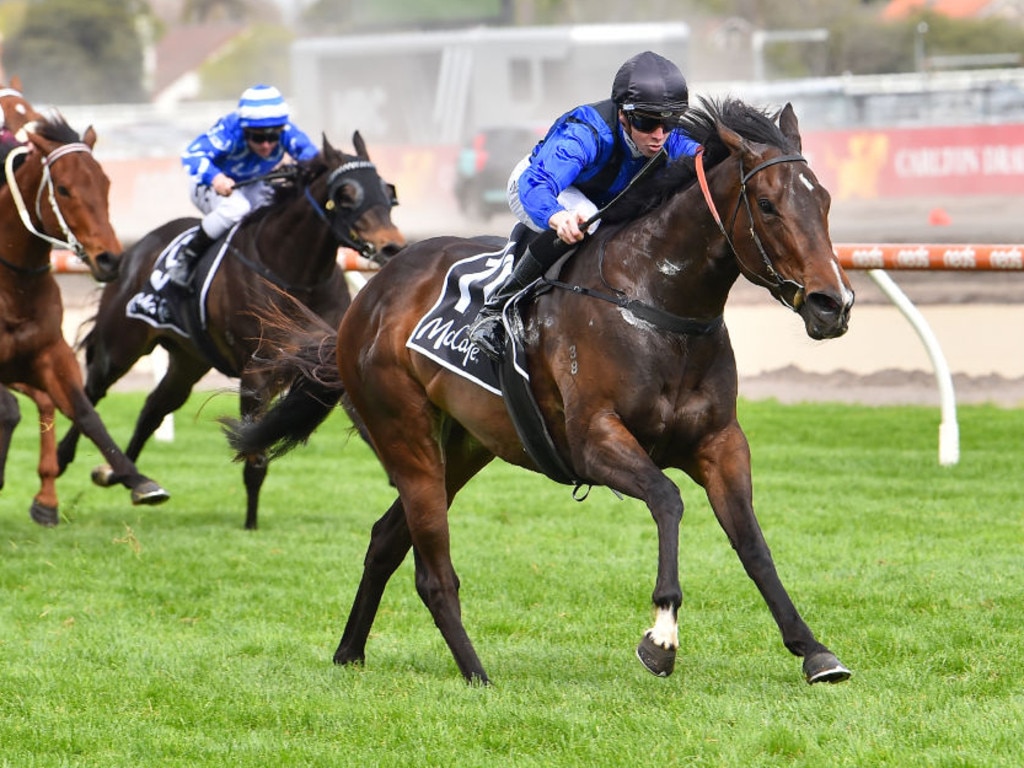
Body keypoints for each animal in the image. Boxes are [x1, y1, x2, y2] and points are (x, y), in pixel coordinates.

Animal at [0, 109, 167, 528]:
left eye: (106, 184)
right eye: (63, 189)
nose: (110, 259)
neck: (13, 285)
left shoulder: (49, 353)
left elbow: (85, 412)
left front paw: (137, 479)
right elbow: (9, 409)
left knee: (44, 404)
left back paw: (47, 498)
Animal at [54, 132, 401, 528]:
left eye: (386, 190)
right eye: (345, 194)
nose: (391, 245)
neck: (294, 274)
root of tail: (134, 250)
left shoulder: (331, 362)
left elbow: (367, 424)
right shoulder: (257, 372)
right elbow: (255, 455)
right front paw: (250, 525)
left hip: (187, 361)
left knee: (154, 407)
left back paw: (129, 479)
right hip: (121, 345)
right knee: (93, 391)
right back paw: (66, 458)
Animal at [224, 97, 856, 684]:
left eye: (824, 201)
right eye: (768, 205)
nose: (834, 303)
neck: (654, 305)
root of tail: (367, 301)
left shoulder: (720, 443)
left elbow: (752, 542)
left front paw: (813, 649)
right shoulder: (594, 441)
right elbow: (668, 500)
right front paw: (661, 636)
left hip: (464, 446)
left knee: (385, 539)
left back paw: (350, 651)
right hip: (405, 437)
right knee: (433, 572)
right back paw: (476, 673)